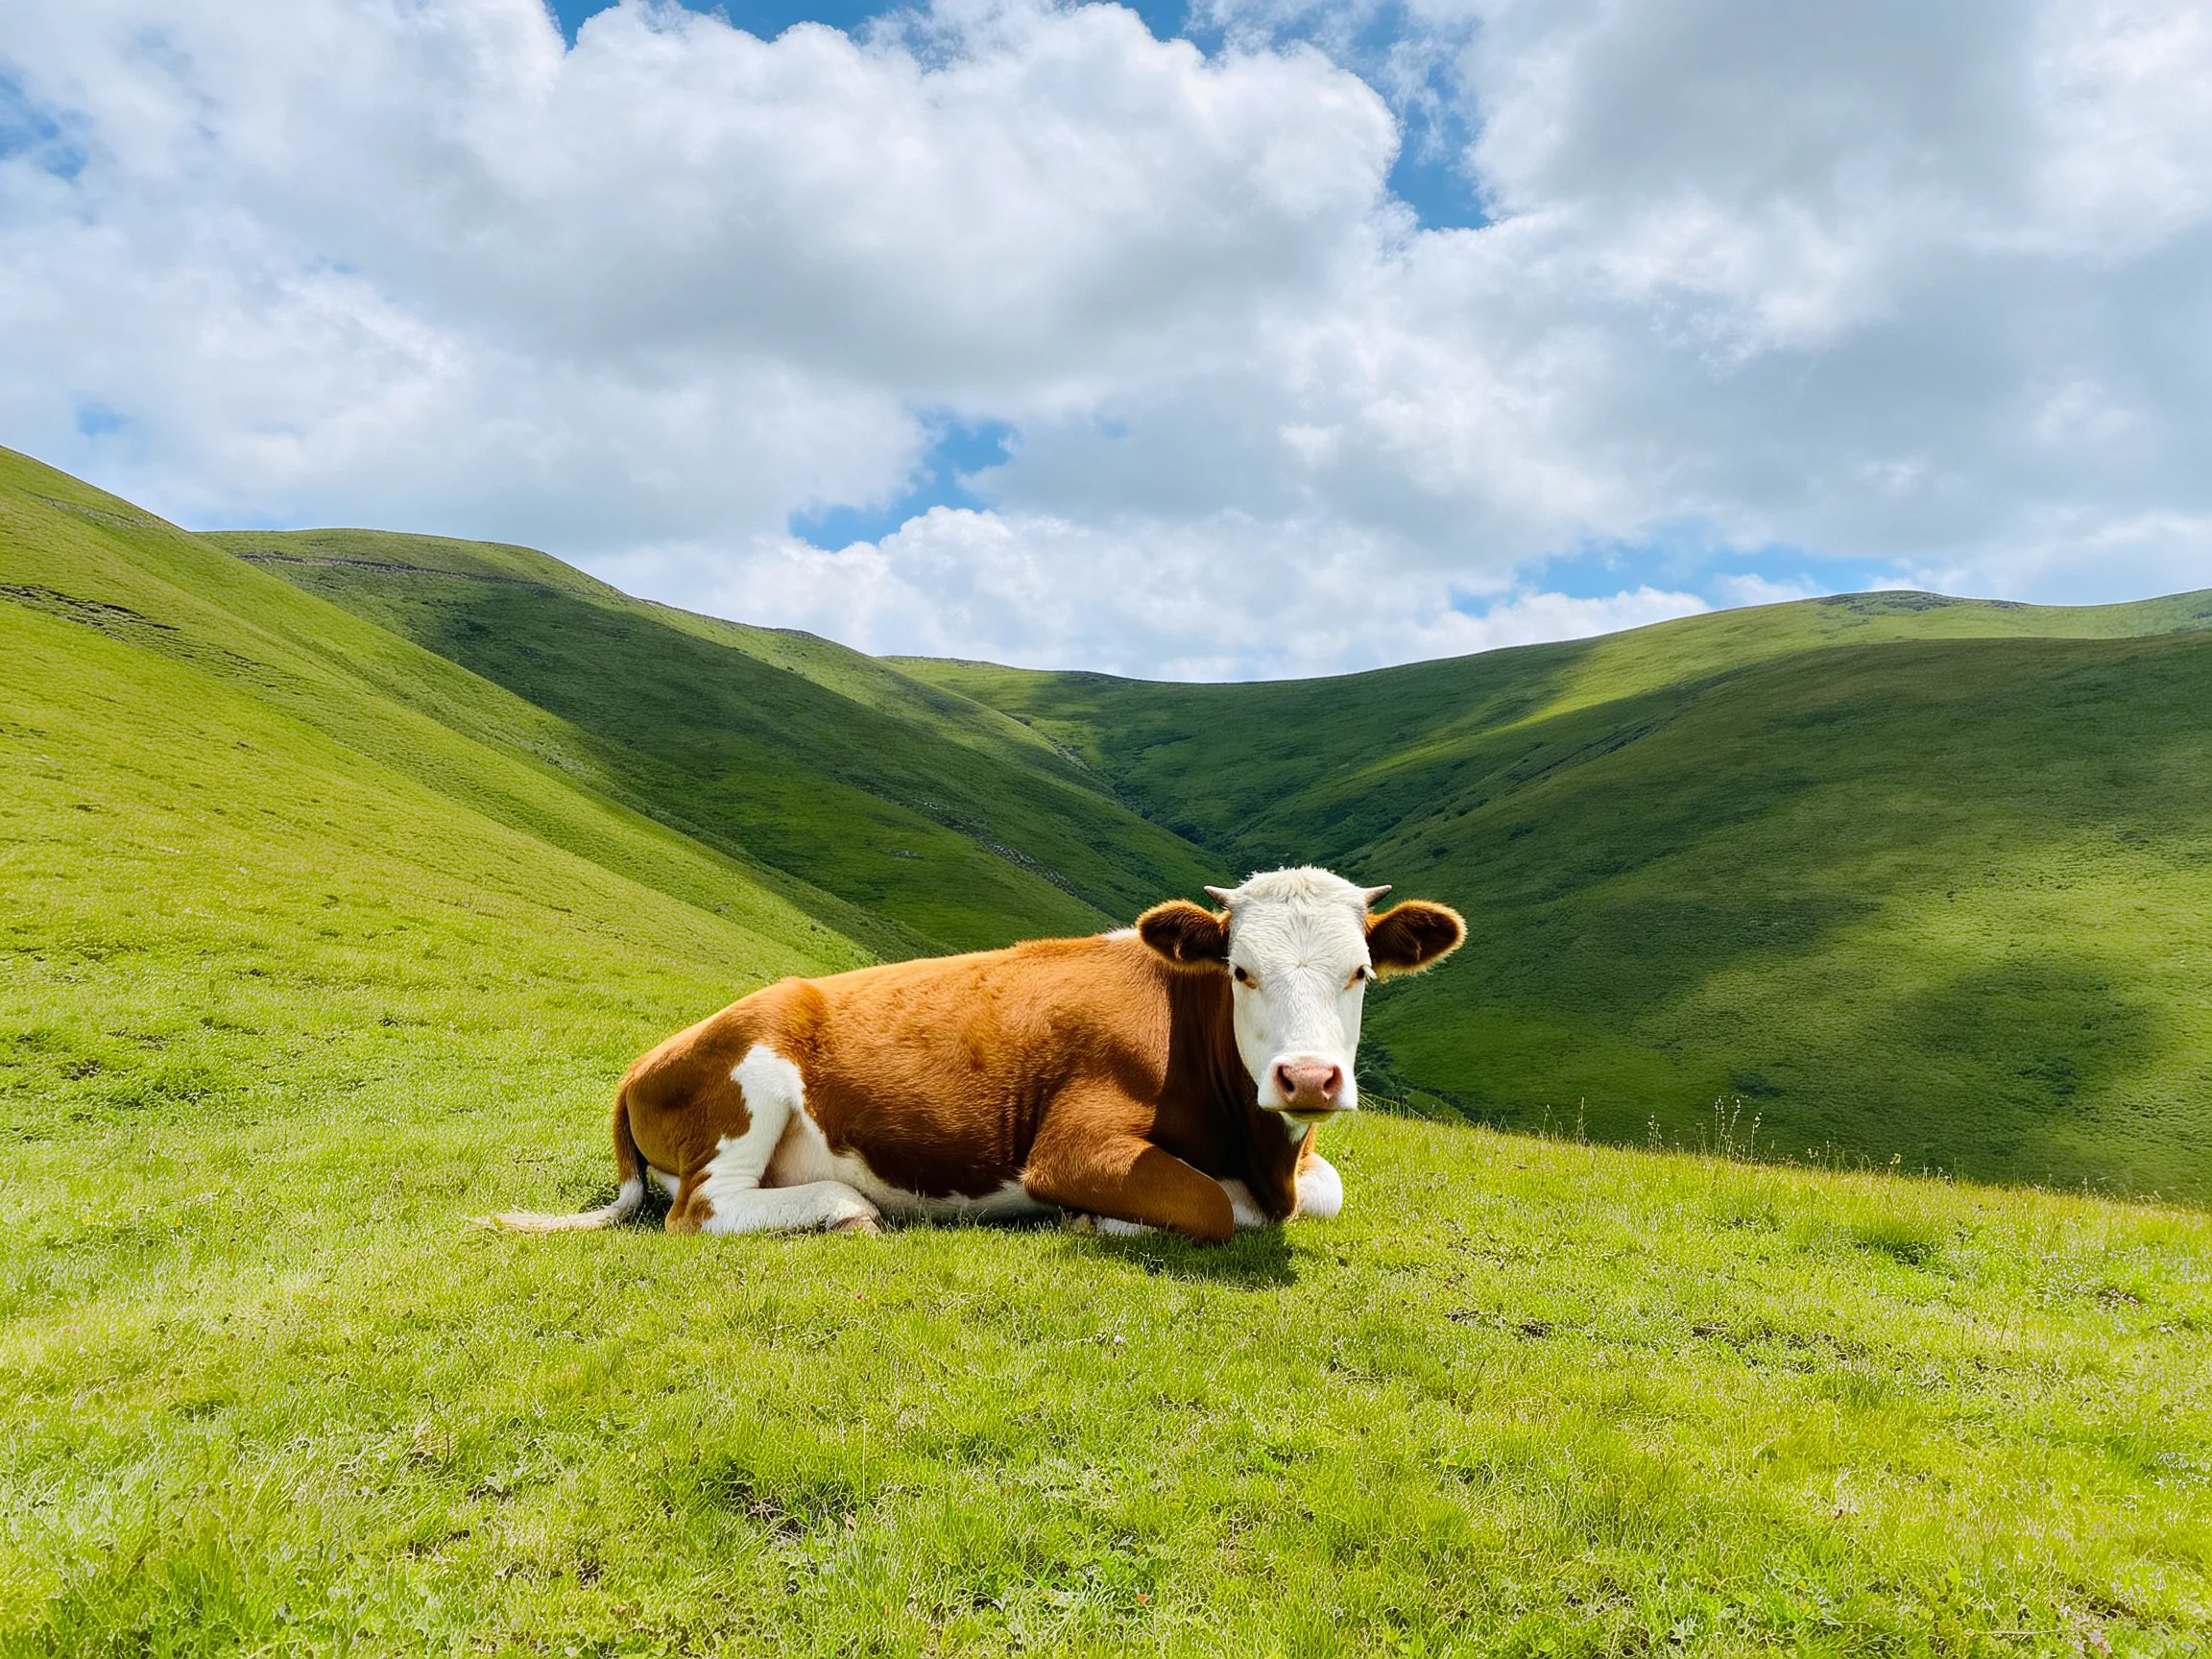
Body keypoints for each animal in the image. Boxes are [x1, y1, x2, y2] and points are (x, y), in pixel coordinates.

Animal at [482, 867, 1464, 1243]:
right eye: (1241, 971)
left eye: (1360, 971)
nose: (1308, 1078)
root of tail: (643, 1060)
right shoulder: (1074, 1144)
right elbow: (1213, 1209)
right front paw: (1094, 1219)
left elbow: (1325, 1191)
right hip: (751, 1082)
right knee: (701, 1210)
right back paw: (844, 1208)